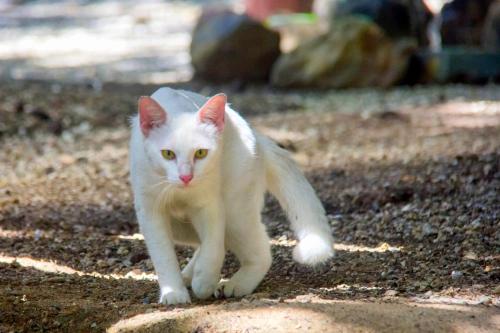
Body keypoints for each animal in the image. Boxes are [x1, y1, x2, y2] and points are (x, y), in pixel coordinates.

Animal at [130, 87, 332, 304]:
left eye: (201, 153)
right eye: (167, 154)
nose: (186, 177)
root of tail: (256, 134)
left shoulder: (210, 204)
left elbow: (213, 246)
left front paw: (205, 281)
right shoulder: (150, 212)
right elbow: (163, 255)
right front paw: (173, 293)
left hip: (235, 213)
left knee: (260, 251)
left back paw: (235, 283)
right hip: (181, 228)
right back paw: (188, 275)